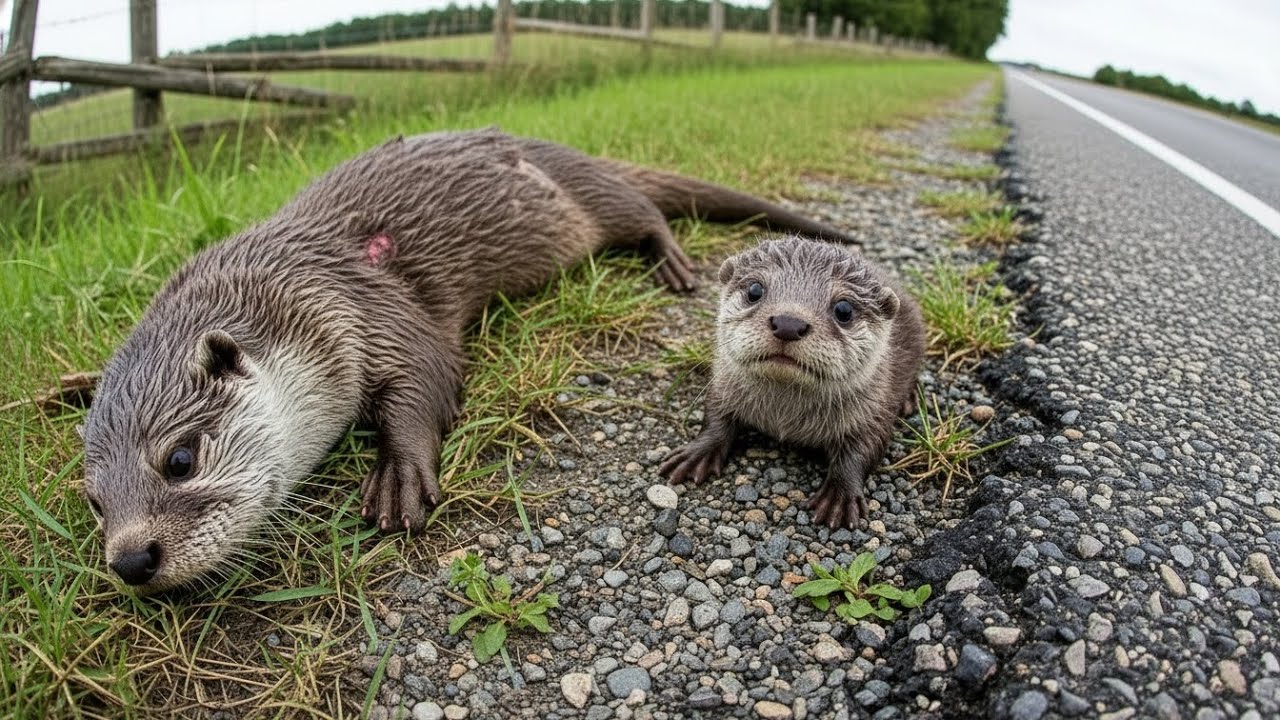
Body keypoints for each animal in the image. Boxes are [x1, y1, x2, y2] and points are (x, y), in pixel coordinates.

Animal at [80, 129, 855, 592]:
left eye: (180, 460)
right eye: (94, 501)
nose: (131, 560)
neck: (294, 284)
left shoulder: (371, 308)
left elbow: (426, 375)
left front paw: (398, 474)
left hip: (591, 194)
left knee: (643, 210)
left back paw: (670, 260)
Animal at [660, 236, 924, 529]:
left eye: (844, 309)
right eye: (755, 290)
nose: (788, 323)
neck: (785, 419)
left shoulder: (874, 408)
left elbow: (863, 450)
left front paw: (840, 496)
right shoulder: (723, 385)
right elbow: (715, 417)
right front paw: (697, 453)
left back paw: (908, 400)